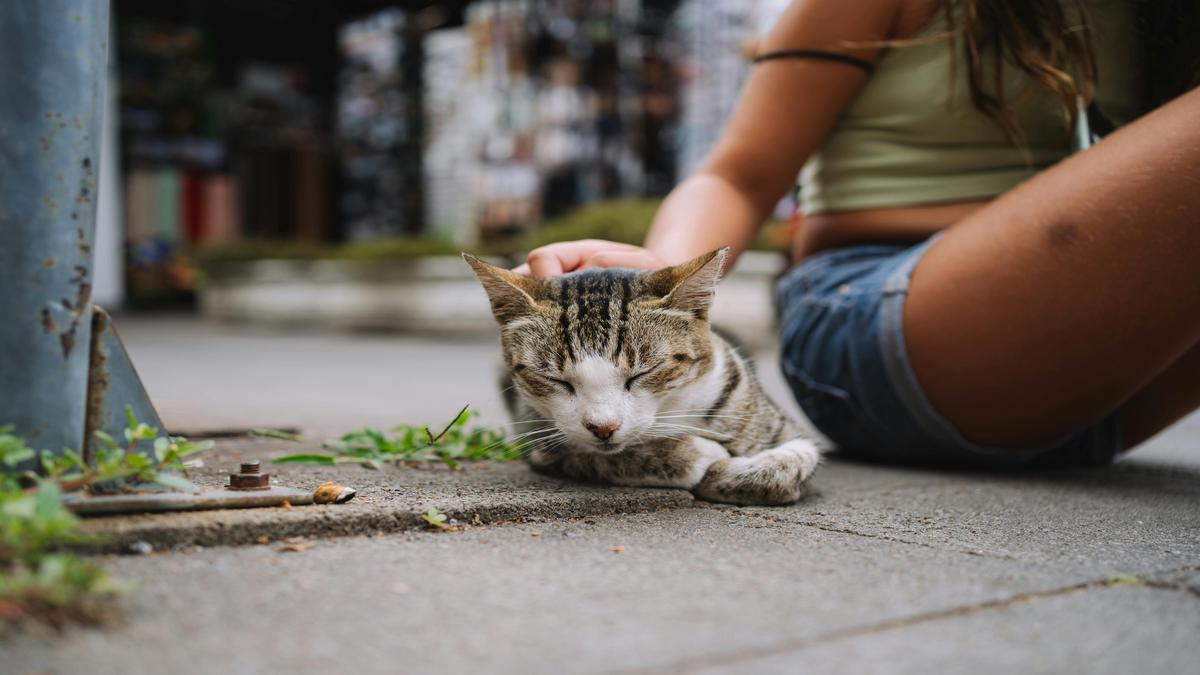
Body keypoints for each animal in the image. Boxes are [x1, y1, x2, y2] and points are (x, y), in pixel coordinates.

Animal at [463, 248, 820, 504]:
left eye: (642, 373)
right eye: (555, 380)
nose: (603, 427)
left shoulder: (775, 421)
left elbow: (793, 460)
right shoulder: (542, 441)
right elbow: (603, 456)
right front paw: (698, 454)